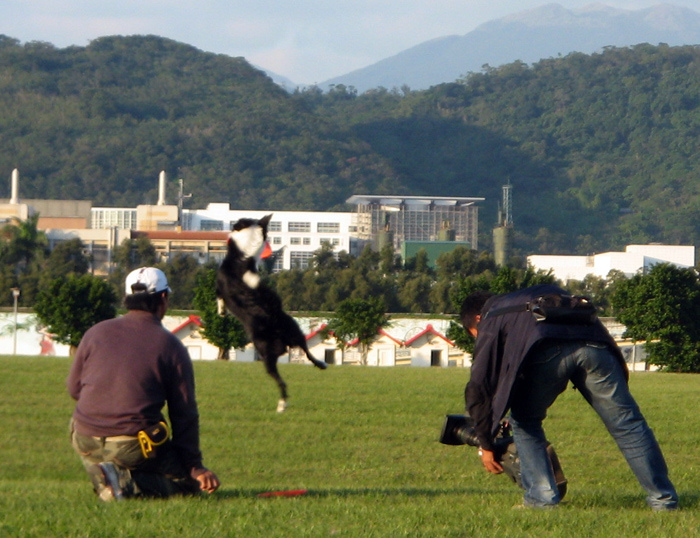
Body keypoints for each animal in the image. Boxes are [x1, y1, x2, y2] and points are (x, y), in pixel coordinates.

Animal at [216, 214, 327, 412]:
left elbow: (219, 299)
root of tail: (274, 324)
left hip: (265, 354)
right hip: (295, 332)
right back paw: (321, 364)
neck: (241, 258)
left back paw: (282, 404)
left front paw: (221, 311)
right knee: (307, 351)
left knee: (280, 381)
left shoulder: (220, 286)